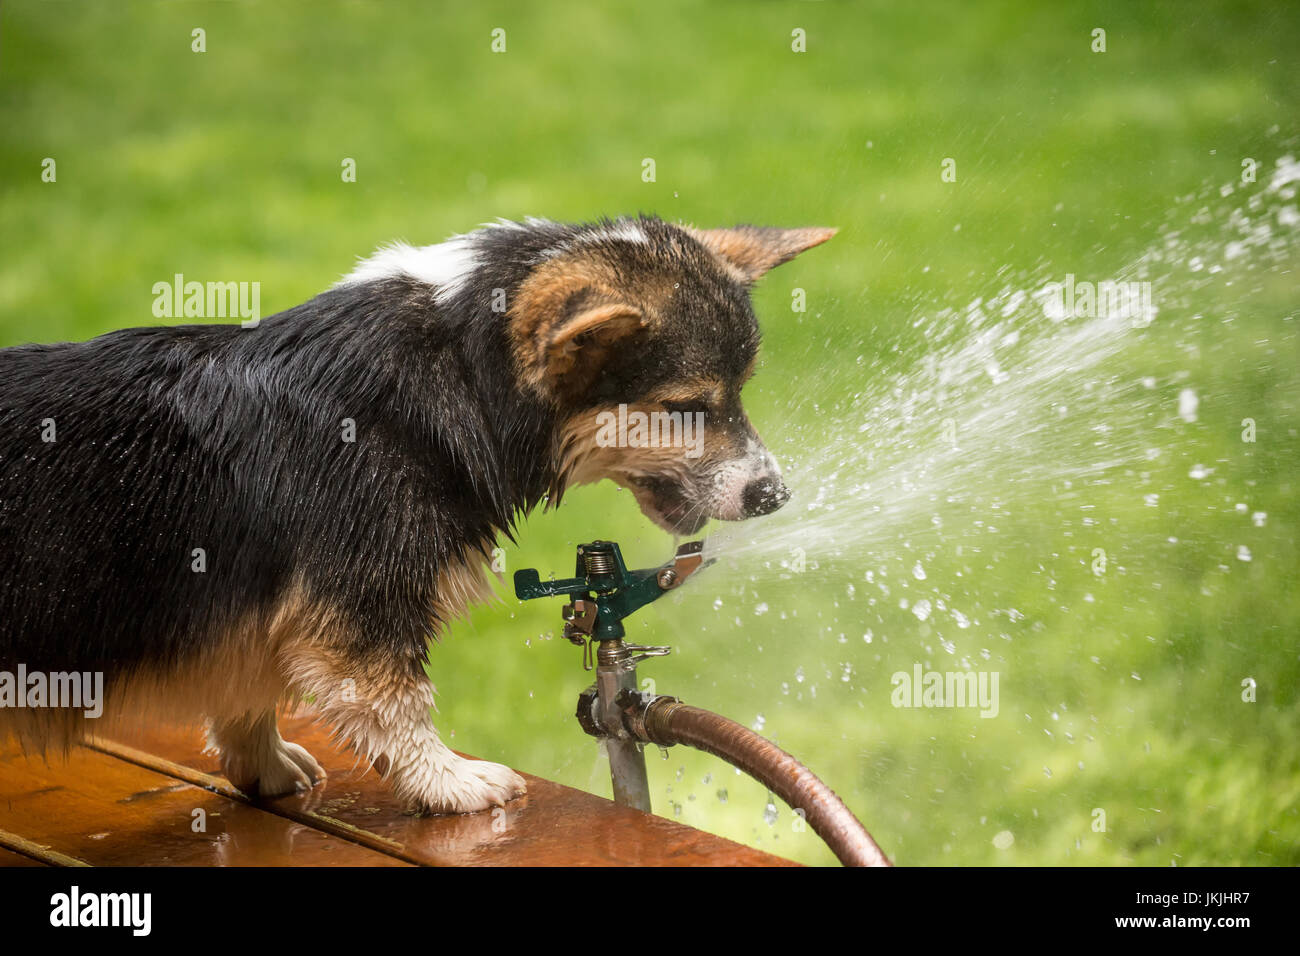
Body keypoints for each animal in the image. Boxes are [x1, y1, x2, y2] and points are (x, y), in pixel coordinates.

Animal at [0, 217, 832, 816]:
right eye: (685, 407)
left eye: (739, 391)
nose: (774, 497)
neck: (460, 369)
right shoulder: (360, 605)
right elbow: (395, 703)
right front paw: (453, 784)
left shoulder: (258, 610)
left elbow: (249, 692)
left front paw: (263, 768)